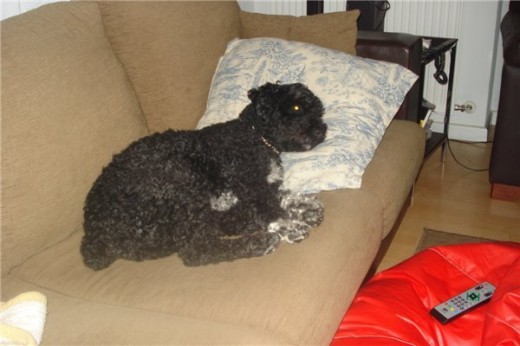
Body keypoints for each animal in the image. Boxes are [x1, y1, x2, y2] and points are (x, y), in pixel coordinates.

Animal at [80, 82, 324, 270]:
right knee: (196, 249)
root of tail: (92, 234)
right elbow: (271, 208)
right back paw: (260, 242)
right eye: (296, 106)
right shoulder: (250, 181)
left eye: (320, 113)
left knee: (223, 224)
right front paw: (290, 225)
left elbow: (281, 194)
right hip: (179, 183)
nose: (321, 130)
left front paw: (302, 204)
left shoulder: (262, 185)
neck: (253, 135)